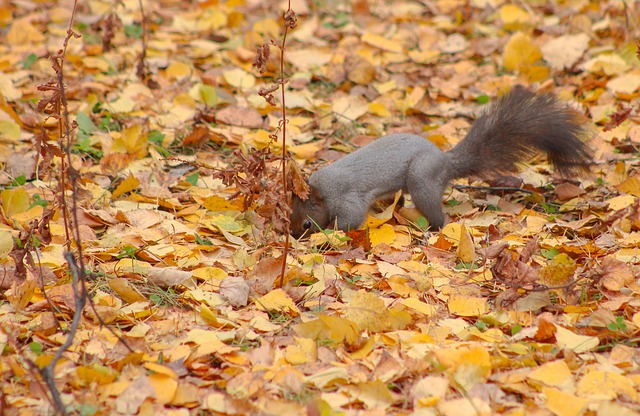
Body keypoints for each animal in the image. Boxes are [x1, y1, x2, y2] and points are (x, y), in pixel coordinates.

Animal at [290, 85, 592, 237]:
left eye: (306, 224)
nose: (293, 235)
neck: (324, 193)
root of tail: (445, 161)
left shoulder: (347, 198)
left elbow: (350, 220)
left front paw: (330, 234)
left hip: (422, 179)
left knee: (438, 216)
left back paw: (432, 230)